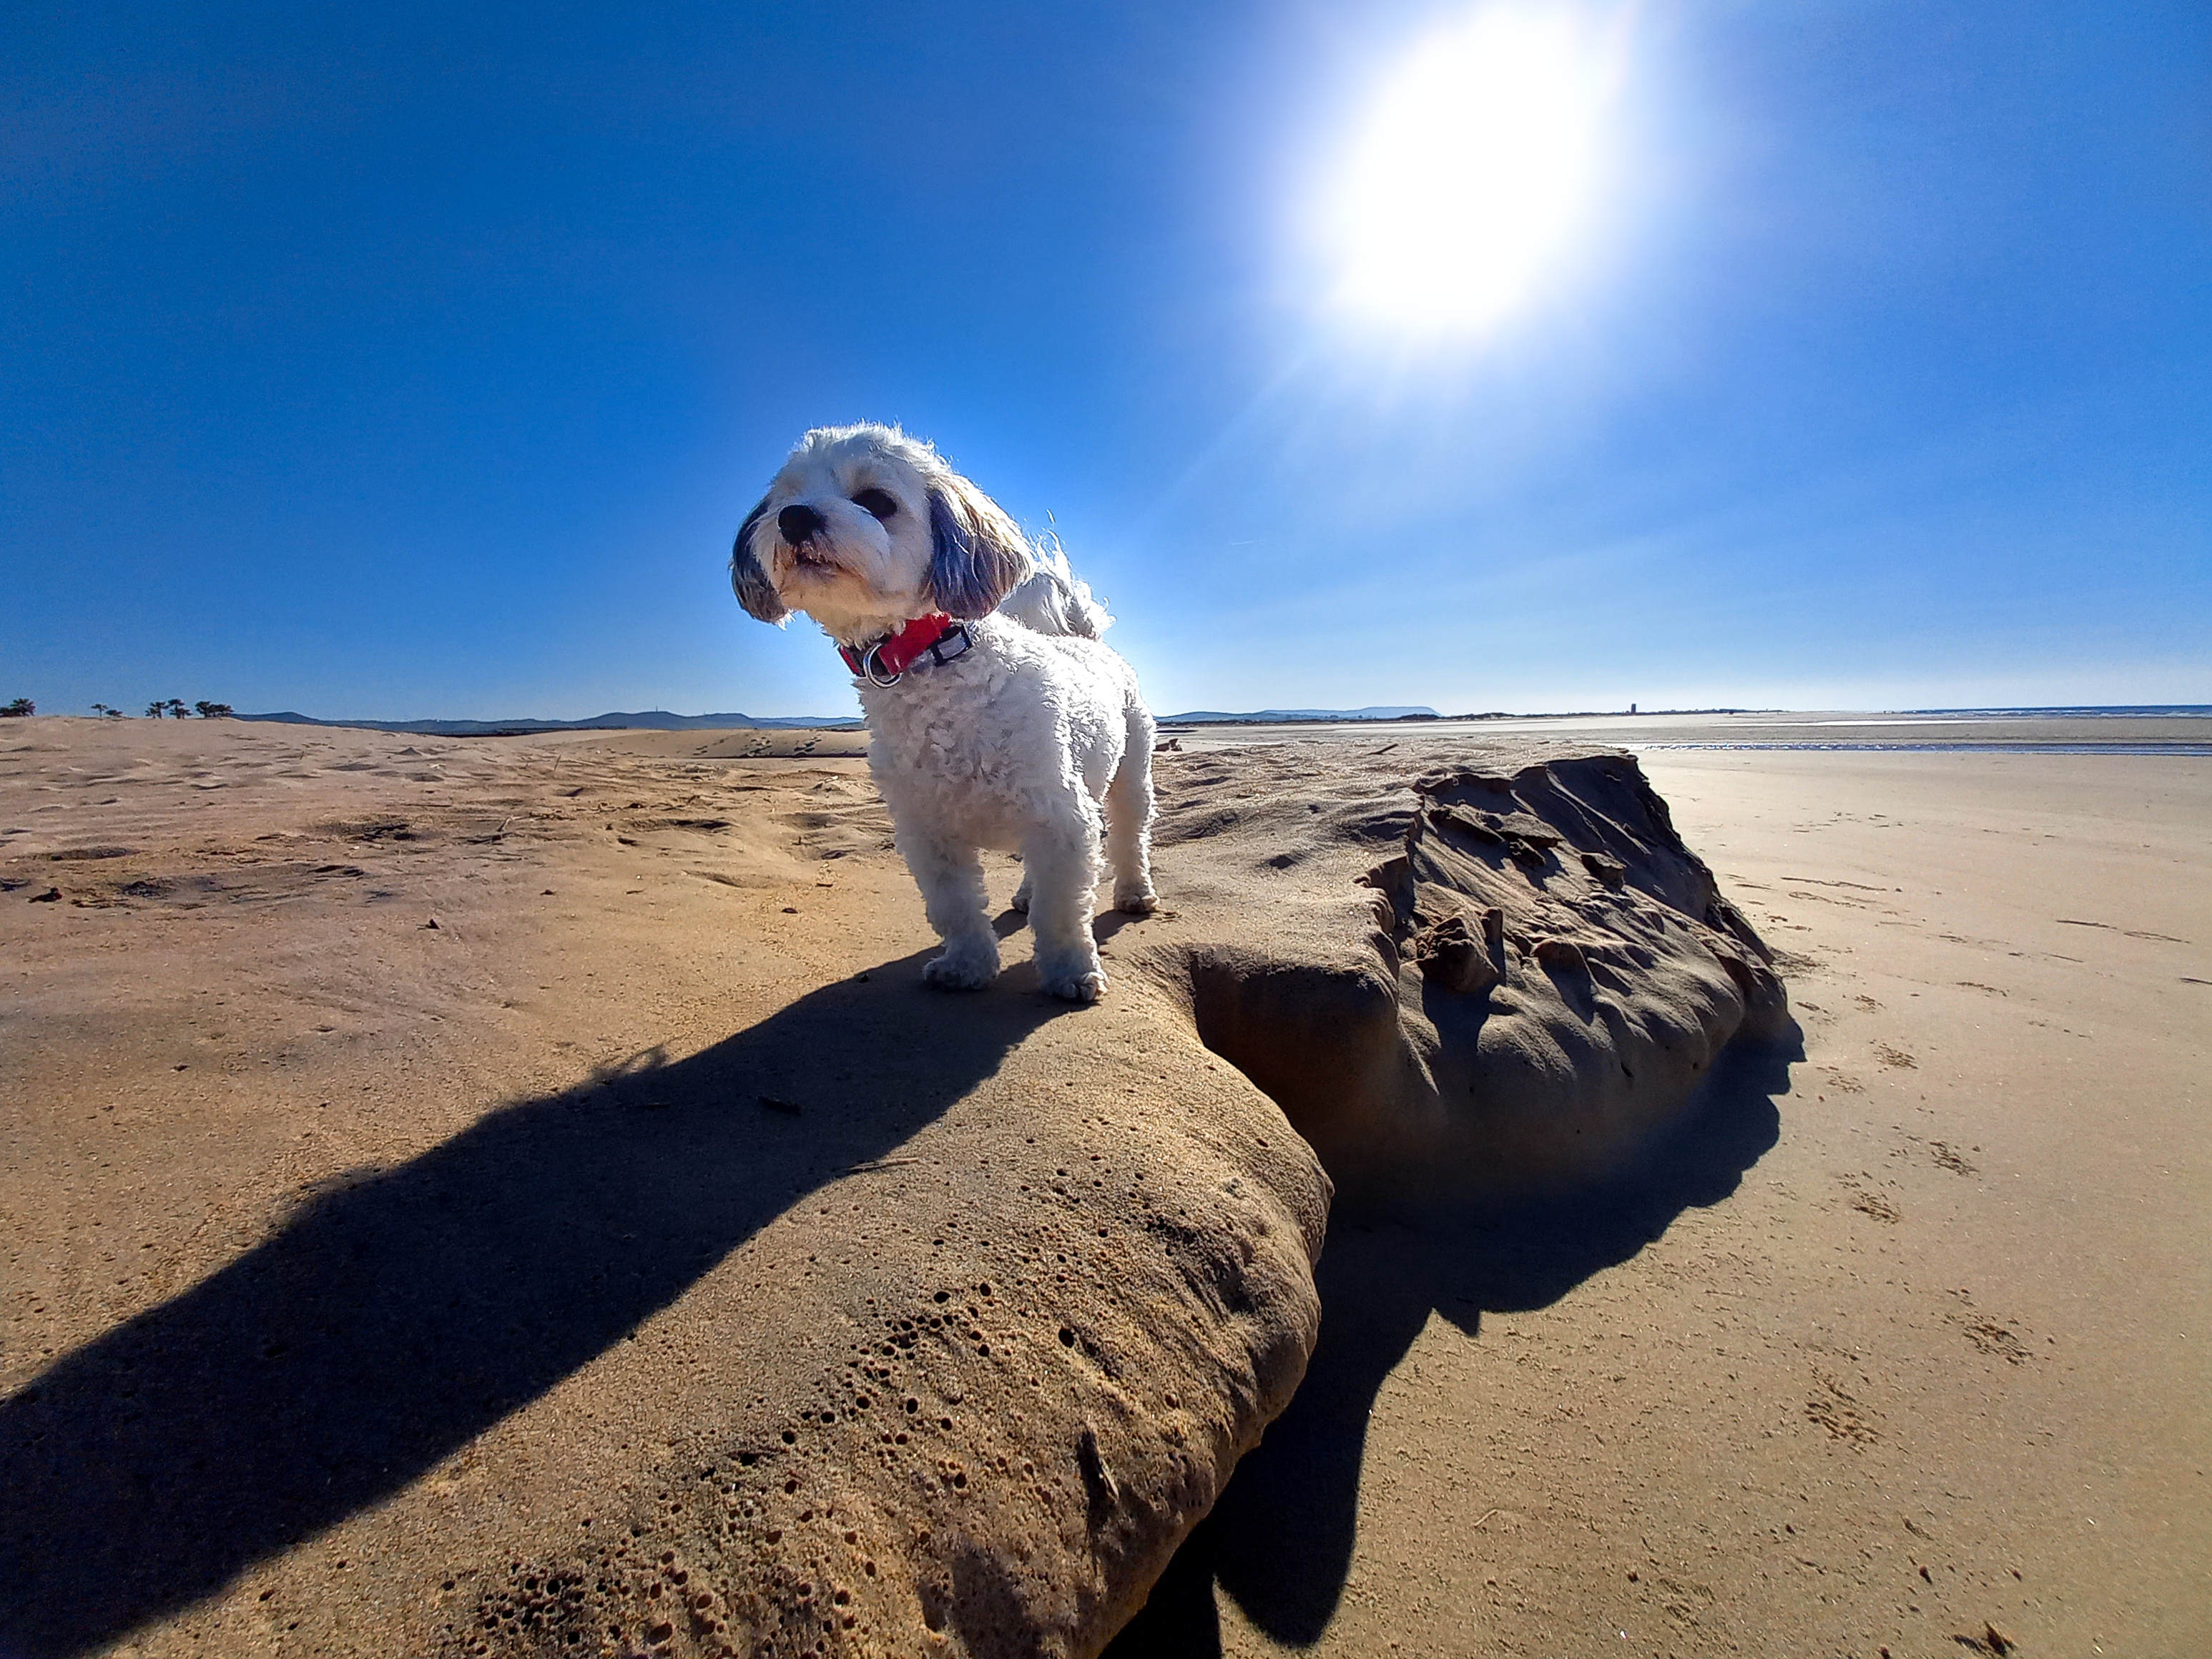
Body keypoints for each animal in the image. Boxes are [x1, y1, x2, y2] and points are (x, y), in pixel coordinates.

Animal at [739, 424, 1159, 1000]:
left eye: (877, 501)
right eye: (787, 496)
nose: (795, 517)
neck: (932, 663)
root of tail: (1083, 639)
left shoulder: (1061, 817)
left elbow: (1061, 913)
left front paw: (1071, 972)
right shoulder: (927, 832)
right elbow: (955, 907)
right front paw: (966, 965)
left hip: (1130, 775)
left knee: (1130, 834)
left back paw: (1135, 891)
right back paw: (1024, 894)